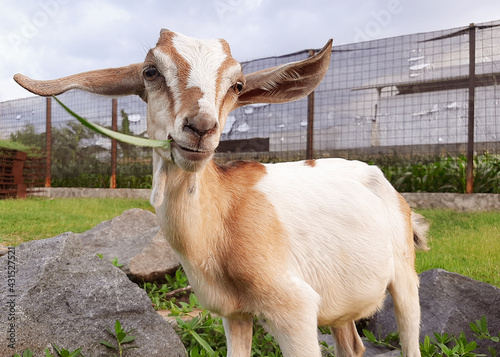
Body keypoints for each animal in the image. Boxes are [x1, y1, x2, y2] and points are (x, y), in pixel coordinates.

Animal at [15, 28, 430, 356]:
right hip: (340, 302)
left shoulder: (294, 310)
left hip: (404, 277)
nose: (200, 128)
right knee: (353, 346)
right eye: (150, 72)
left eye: (238, 85)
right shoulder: (235, 313)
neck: (219, 225)